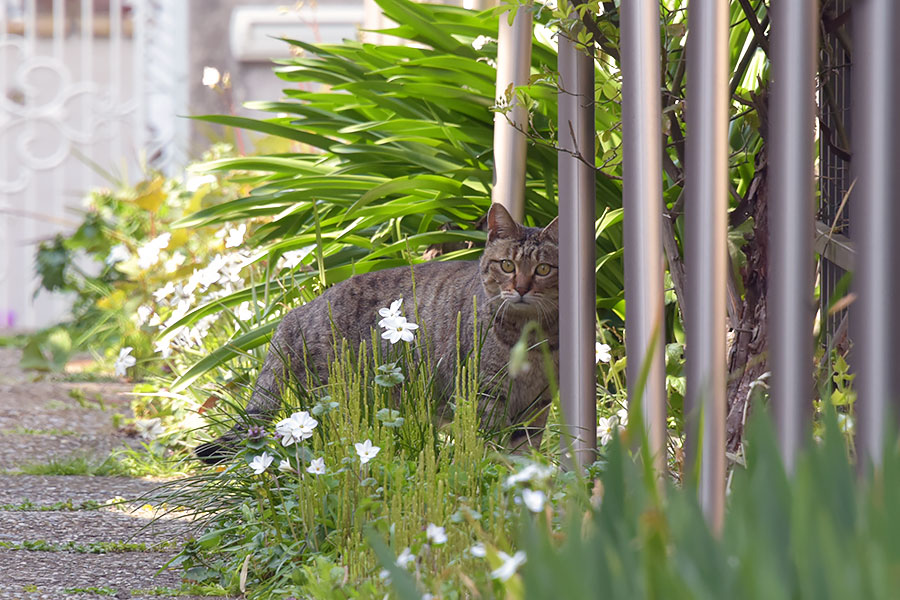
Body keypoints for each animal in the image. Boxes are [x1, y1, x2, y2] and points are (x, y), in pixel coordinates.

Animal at [199, 204, 556, 462]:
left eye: (543, 269)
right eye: (507, 265)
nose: (521, 288)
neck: (530, 335)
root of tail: (297, 310)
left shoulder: (537, 403)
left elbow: (525, 451)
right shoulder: (485, 395)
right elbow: (488, 446)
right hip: (336, 400)